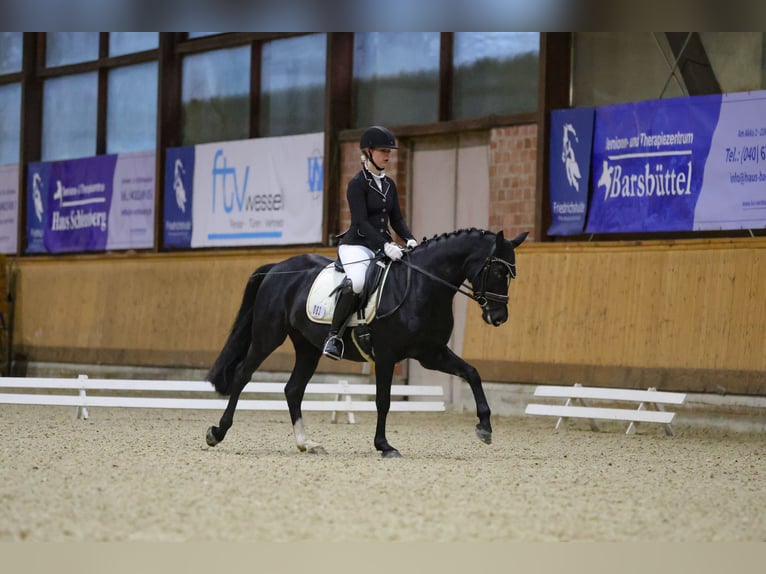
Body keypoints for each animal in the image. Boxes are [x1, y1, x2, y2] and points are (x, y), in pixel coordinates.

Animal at [206, 230, 528, 460]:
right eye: (498, 272)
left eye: (512, 274)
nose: (498, 317)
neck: (422, 286)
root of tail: (277, 268)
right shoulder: (387, 356)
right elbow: (383, 401)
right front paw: (384, 445)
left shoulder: (431, 353)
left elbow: (472, 372)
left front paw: (484, 427)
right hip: (267, 335)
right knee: (242, 376)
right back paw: (217, 432)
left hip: (308, 347)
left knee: (293, 389)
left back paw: (306, 443)